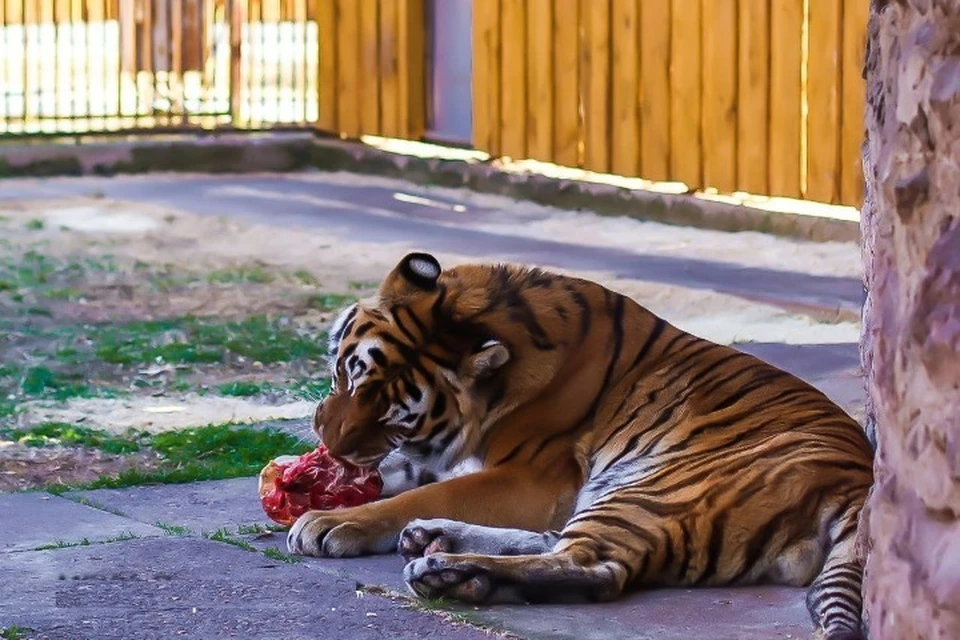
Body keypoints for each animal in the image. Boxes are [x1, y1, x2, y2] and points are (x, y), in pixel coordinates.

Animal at [288, 251, 872, 640]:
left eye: (392, 413)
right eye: (350, 374)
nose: (327, 438)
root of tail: (860, 486)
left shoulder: (533, 478)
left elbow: (415, 494)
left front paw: (331, 522)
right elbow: (402, 478)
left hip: (656, 486)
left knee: (594, 566)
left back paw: (449, 571)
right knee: (561, 546)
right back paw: (435, 541)